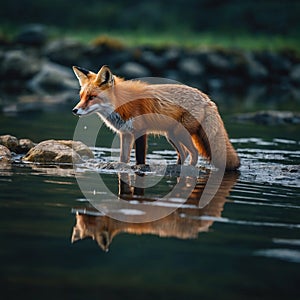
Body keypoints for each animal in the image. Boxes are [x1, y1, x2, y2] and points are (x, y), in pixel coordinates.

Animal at [71, 65, 240, 171]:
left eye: (92, 97)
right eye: (81, 96)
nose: (75, 110)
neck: (121, 103)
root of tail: (208, 100)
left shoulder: (140, 131)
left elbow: (139, 157)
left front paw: (139, 168)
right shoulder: (125, 133)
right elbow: (123, 158)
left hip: (180, 133)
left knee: (194, 153)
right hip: (171, 135)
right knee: (184, 153)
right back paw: (175, 167)